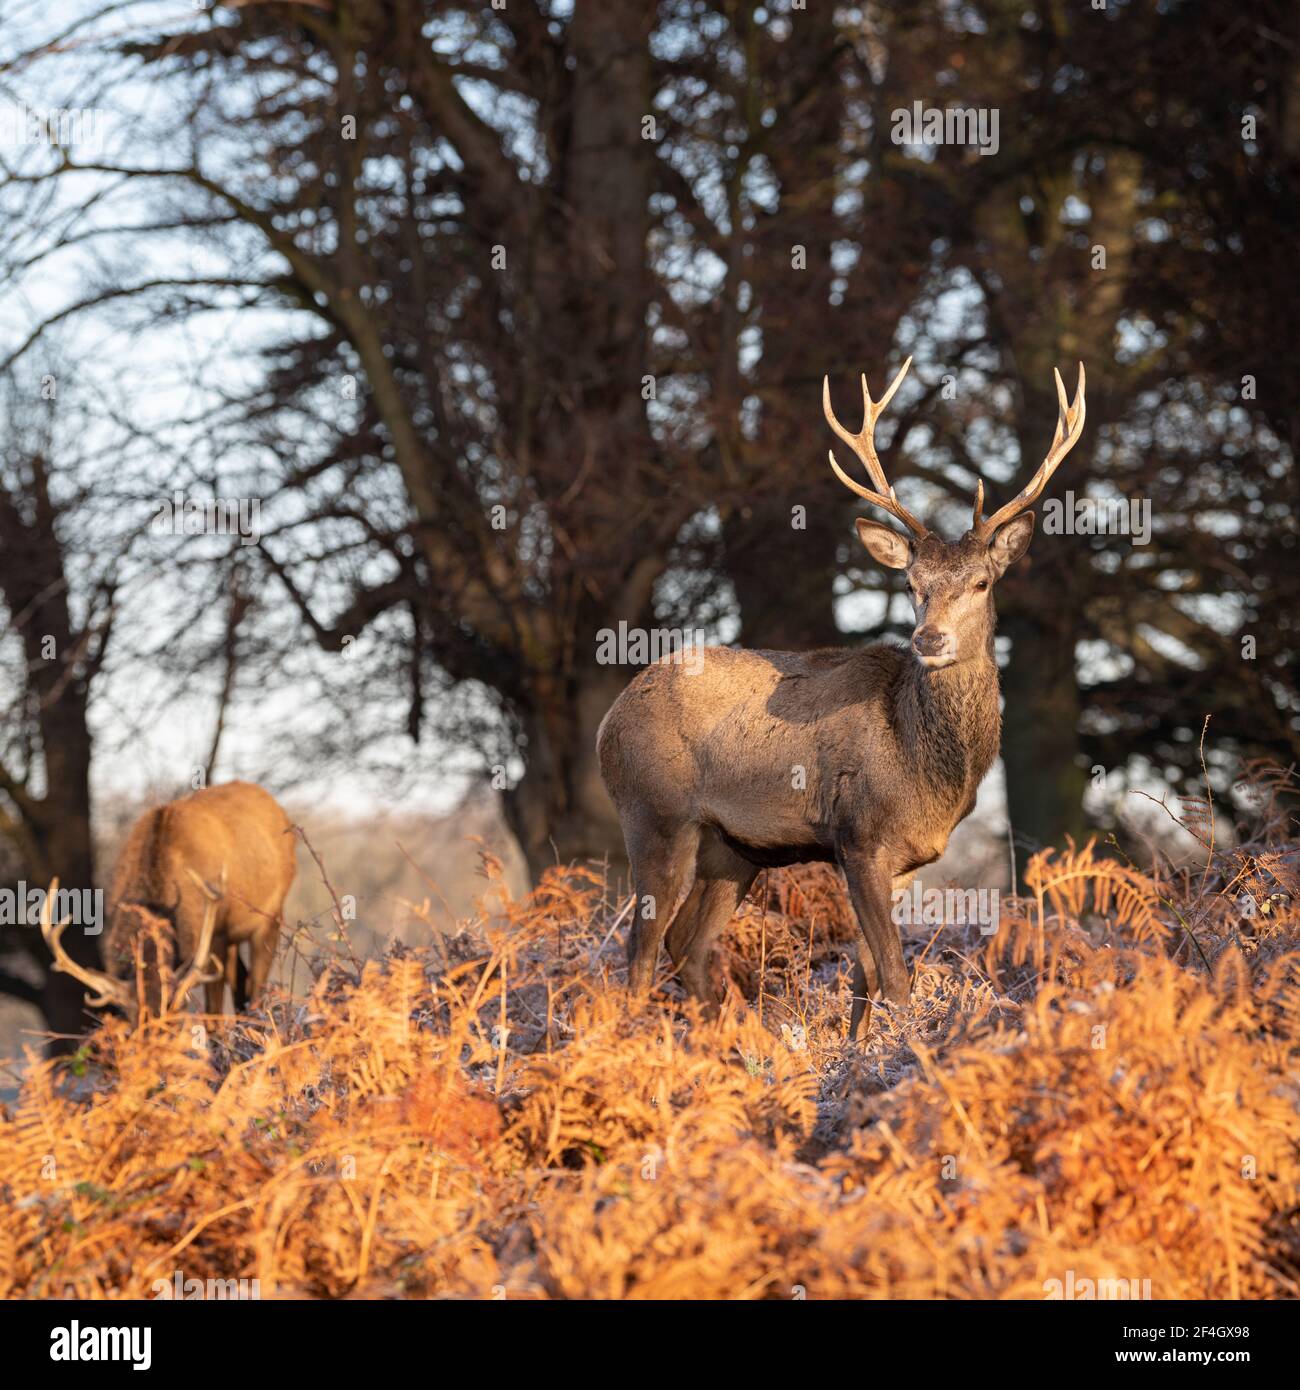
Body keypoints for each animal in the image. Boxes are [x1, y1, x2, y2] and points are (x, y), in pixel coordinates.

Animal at [40, 781, 297, 1020]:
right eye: (132, 1019)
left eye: (172, 1016)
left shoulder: (214, 937)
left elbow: (213, 1016)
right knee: (241, 983)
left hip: (270, 916)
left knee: (256, 987)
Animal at [597, 354, 1086, 1037]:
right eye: (911, 583)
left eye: (982, 582)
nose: (929, 638)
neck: (926, 770)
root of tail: (608, 719)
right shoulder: (859, 836)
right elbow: (897, 980)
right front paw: (903, 1046)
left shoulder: (905, 860)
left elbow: (864, 979)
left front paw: (859, 1050)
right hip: (654, 814)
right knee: (638, 955)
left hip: (733, 851)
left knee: (685, 947)